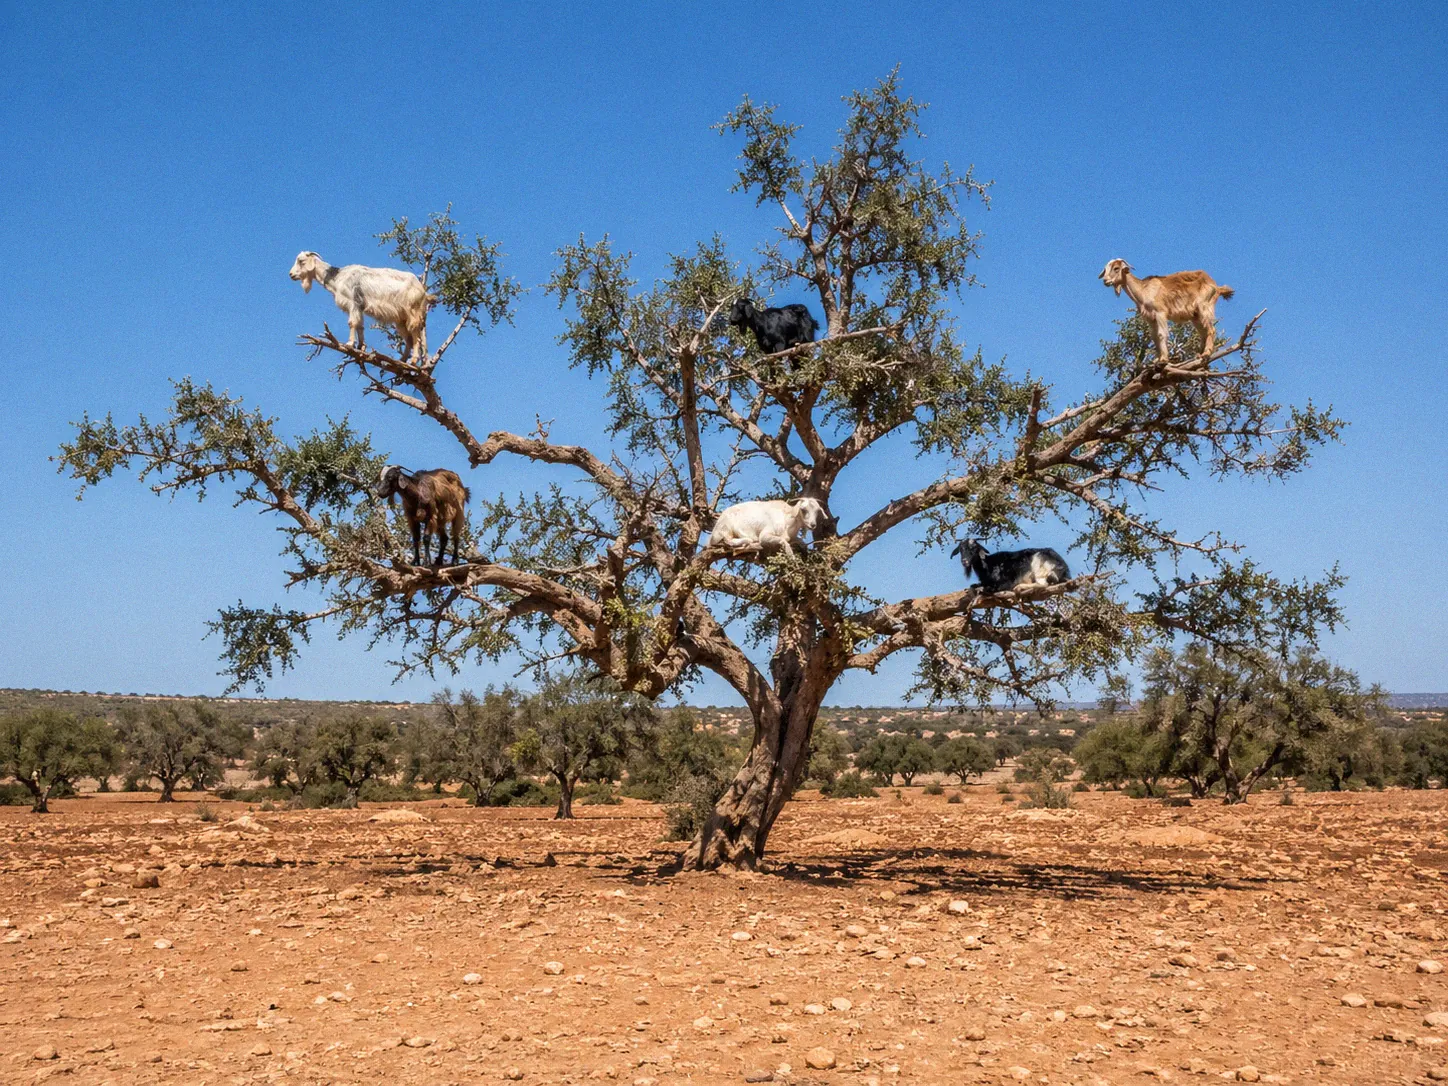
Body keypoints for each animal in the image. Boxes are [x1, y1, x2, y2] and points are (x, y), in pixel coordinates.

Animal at [289, 251, 436, 364]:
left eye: (301, 261)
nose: (291, 275)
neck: (337, 277)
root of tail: (423, 291)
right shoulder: (359, 307)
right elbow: (360, 325)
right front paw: (361, 347)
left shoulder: (353, 303)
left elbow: (352, 323)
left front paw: (350, 344)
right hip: (401, 319)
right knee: (409, 338)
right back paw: (402, 360)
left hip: (413, 312)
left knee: (415, 335)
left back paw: (413, 360)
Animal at [1099, 259, 1234, 362]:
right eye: (1105, 269)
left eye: (1116, 268)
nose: (1105, 281)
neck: (1143, 290)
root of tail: (1216, 287)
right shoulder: (1151, 318)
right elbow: (1154, 337)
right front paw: (1156, 360)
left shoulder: (1160, 313)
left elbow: (1161, 334)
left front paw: (1163, 360)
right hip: (1195, 316)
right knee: (1203, 332)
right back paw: (1199, 355)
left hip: (1204, 307)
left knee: (1211, 329)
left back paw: (1206, 353)